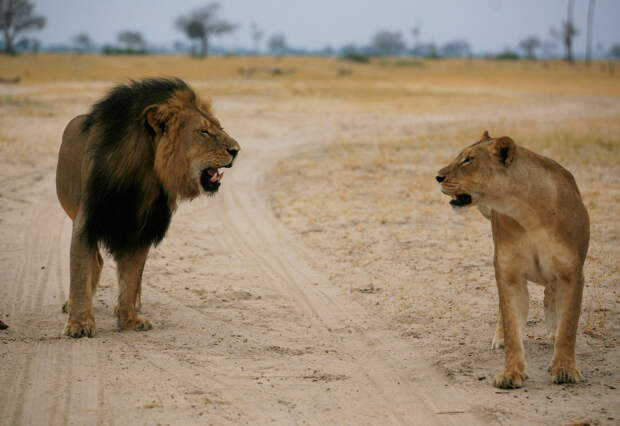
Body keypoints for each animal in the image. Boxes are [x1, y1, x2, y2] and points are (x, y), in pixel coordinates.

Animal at [56, 76, 240, 338]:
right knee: (94, 262)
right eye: (203, 131)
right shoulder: (87, 220)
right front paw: (79, 324)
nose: (236, 150)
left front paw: (129, 319)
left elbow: (132, 277)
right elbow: (80, 271)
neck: (144, 174)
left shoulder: (142, 227)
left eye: (219, 127)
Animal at [434, 131, 588, 388]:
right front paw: (511, 373)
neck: (528, 213)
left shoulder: (571, 272)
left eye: (468, 160)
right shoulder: (509, 273)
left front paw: (565, 369)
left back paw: (552, 332)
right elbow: (512, 323)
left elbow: (569, 324)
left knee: (550, 293)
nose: (437, 177)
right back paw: (501, 338)